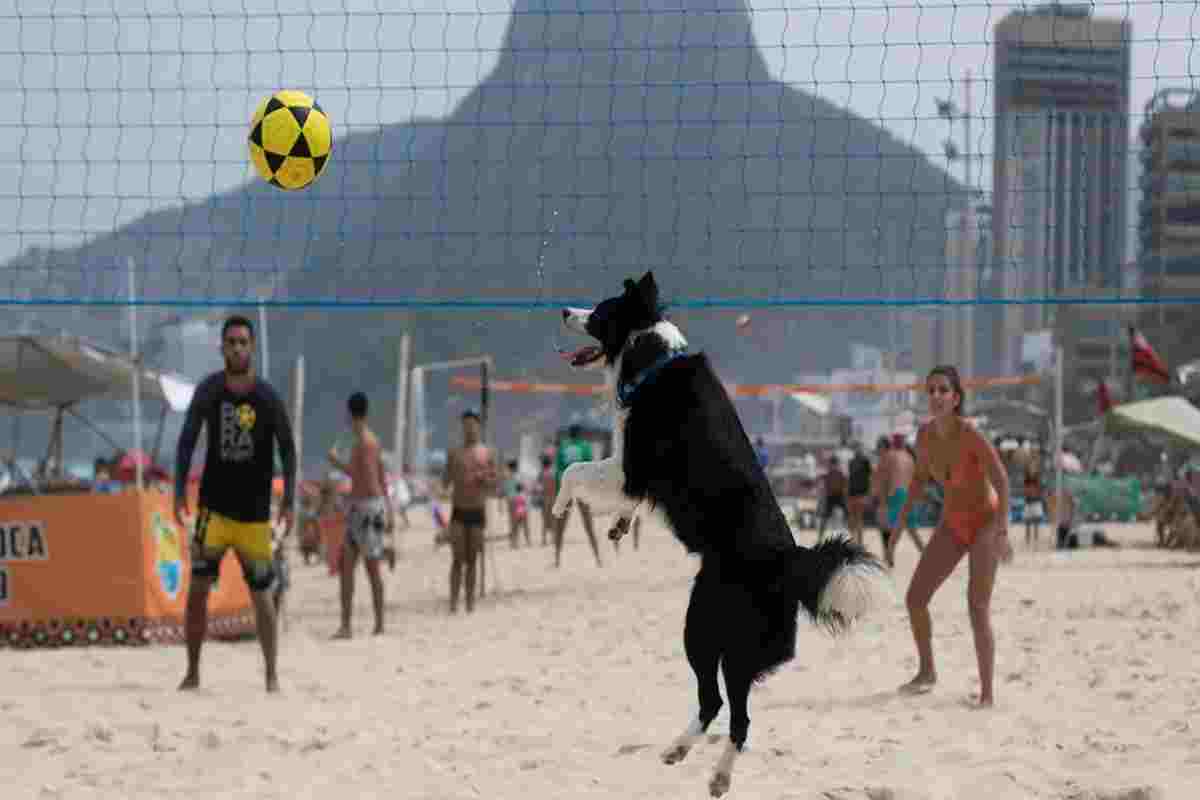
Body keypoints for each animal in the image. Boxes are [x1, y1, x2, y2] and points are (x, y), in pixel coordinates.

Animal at [552, 273, 892, 796]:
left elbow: (574, 470)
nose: (565, 312)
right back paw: (684, 753)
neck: (651, 357)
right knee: (724, 708)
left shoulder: (633, 466)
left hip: (707, 631)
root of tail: (792, 562)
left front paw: (558, 505)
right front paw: (619, 523)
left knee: (730, 710)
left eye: (602, 311)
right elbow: (625, 499)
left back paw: (714, 772)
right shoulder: (636, 475)